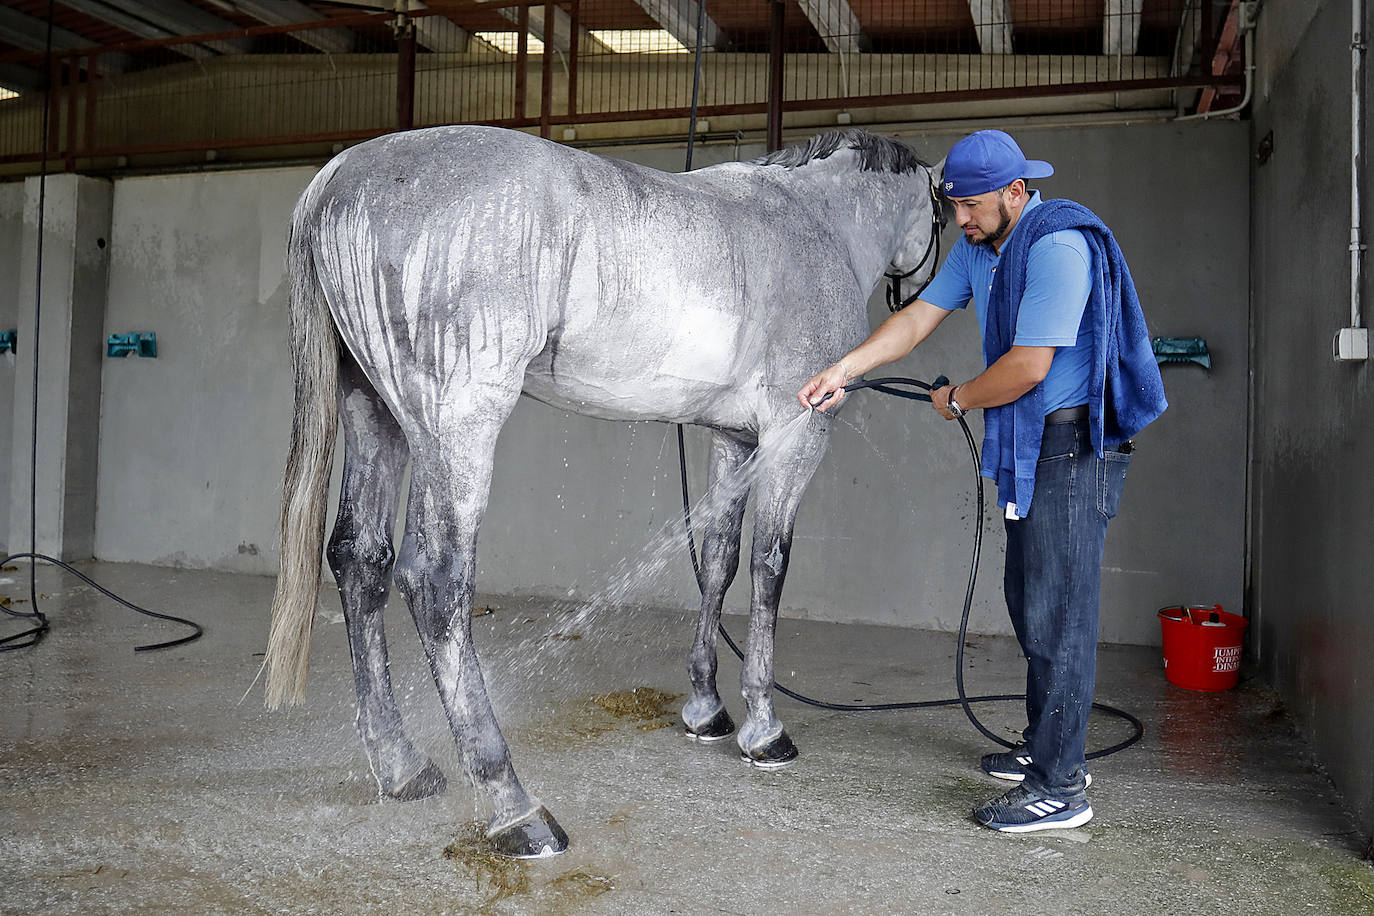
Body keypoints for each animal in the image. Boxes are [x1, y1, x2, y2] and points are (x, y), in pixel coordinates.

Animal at [262, 127, 939, 862]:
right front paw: (765, 728)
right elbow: (769, 567)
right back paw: (517, 809)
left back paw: (402, 767)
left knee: (362, 560)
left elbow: (719, 560)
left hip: (374, 411)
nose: (916, 294)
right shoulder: (797, 433)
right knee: (435, 582)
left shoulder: (735, 440)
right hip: (456, 425)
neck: (816, 220)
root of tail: (338, 177)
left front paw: (706, 708)